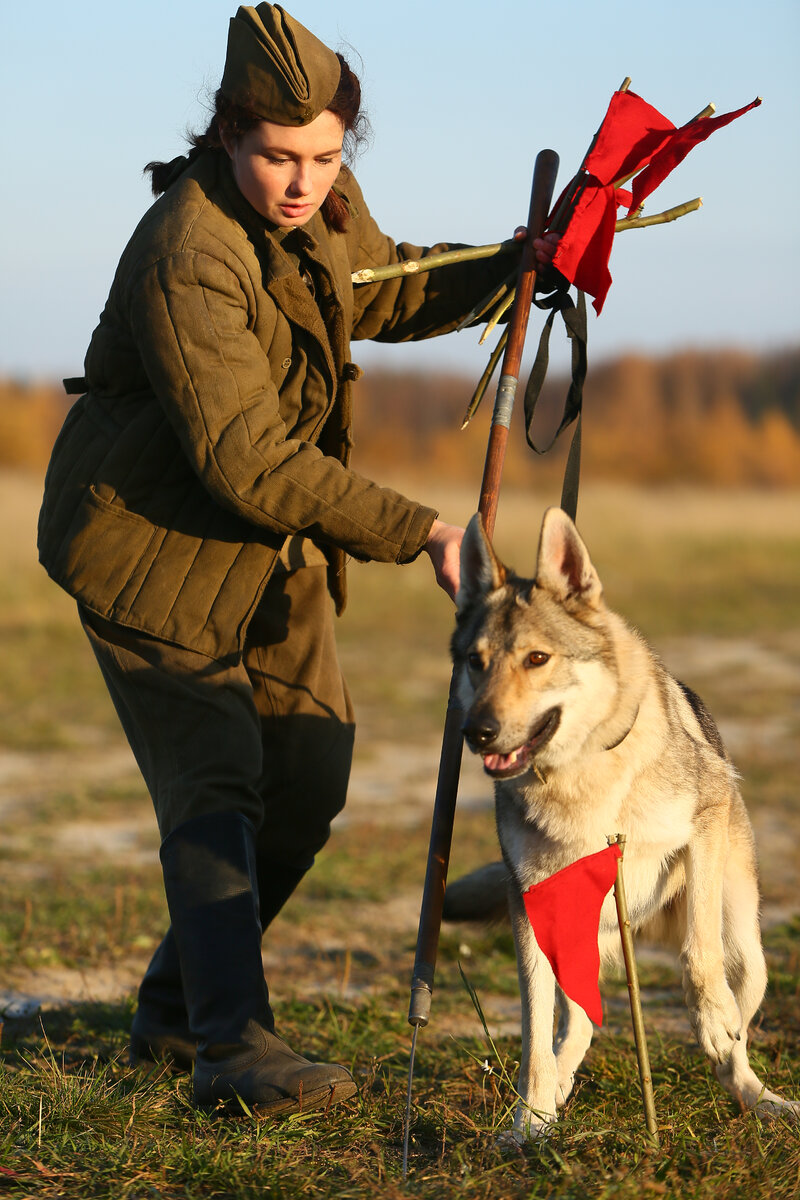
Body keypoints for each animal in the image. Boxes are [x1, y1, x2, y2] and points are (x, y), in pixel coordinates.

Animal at [448, 508, 796, 1142]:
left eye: (537, 659)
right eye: (476, 662)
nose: (477, 733)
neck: (581, 776)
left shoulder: (701, 828)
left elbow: (698, 957)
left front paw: (712, 1024)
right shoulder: (529, 906)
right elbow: (534, 1035)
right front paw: (527, 1126)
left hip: (748, 950)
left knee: (736, 1035)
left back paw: (761, 1098)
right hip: (572, 944)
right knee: (577, 1027)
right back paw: (553, 1097)